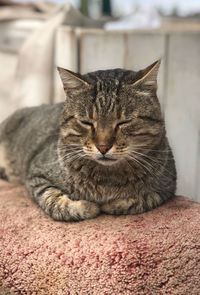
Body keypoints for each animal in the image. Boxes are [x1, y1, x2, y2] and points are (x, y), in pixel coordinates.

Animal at [0, 60, 176, 221]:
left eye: (124, 122)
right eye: (86, 122)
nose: (103, 147)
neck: (107, 179)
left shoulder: (167, 187)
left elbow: (142, 199)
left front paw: (112, 204)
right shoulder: (37, 176)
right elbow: (54, 200)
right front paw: (88, 206)